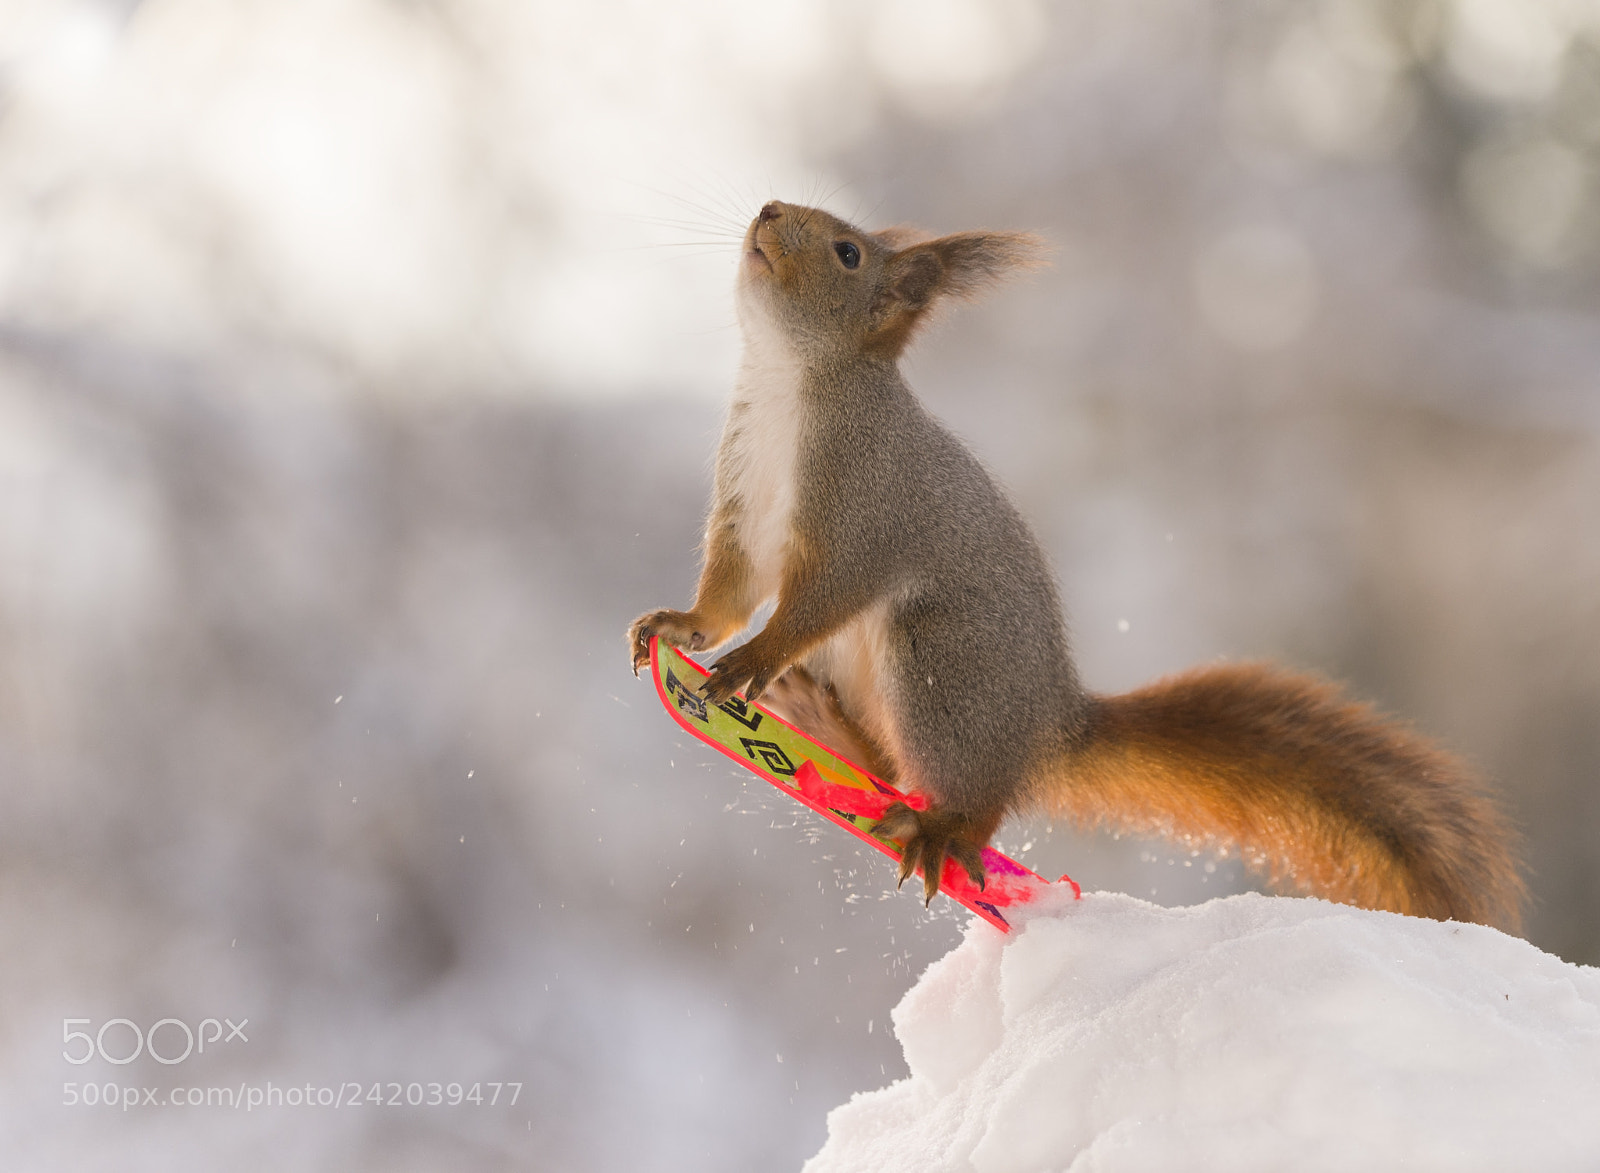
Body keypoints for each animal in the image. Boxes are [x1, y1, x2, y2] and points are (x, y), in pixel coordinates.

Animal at [627, 199, 1524, 932]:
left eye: (847, 253)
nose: (769, 208)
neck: (788, 382)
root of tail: (1046, 728)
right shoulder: (743, 508)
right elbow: (730, 591)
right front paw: (679, 629)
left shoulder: (863, 508)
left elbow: (816, 599)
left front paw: (750, 659)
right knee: (888, 765)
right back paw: (822, 730)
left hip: (941, 664)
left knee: (972, 800)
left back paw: (939, 830)